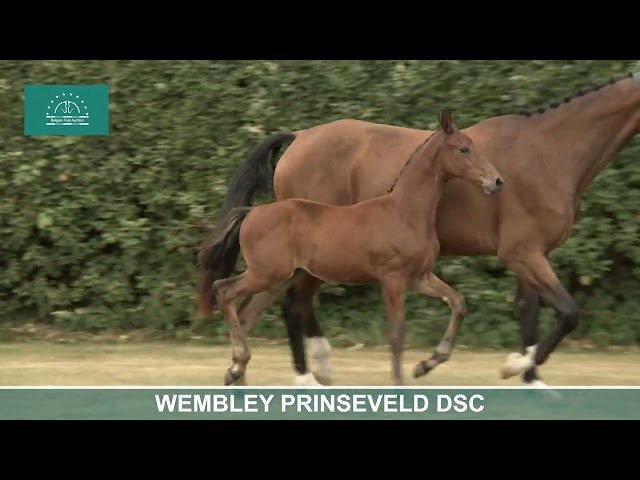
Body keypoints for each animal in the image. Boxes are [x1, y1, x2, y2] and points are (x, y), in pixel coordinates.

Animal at [198, 109, 502, 386]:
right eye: (463, 149)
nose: (496, 181)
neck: (403, 211)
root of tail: (251, 212)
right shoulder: (392, 279)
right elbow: (396, 335)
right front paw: (403, 382)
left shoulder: (419, 277)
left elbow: (457, 302)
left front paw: (427, 364)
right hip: (266, 273)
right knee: (224, 291)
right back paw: (244, 365)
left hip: (281, 277)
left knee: (247, 312)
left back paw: (237, 374)